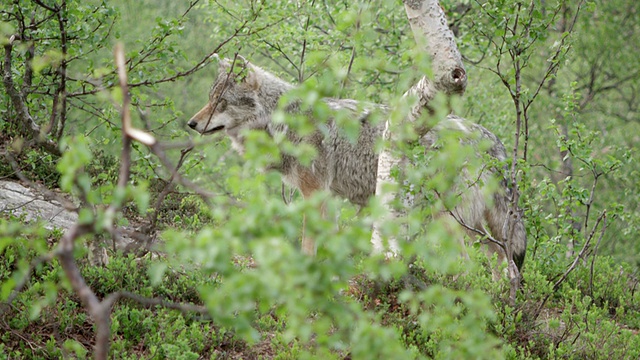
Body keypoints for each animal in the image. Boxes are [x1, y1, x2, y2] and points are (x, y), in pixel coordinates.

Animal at [186, 55, 524, 272]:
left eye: (220, 103)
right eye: (209, 99)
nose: (191, 123)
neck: (283, 120)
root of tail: (490, 138)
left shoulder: (313, 193)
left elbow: (308, 241)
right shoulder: (328, 197)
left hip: (449, 222)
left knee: (471, 266)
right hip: (474, 226)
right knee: (504, 261)